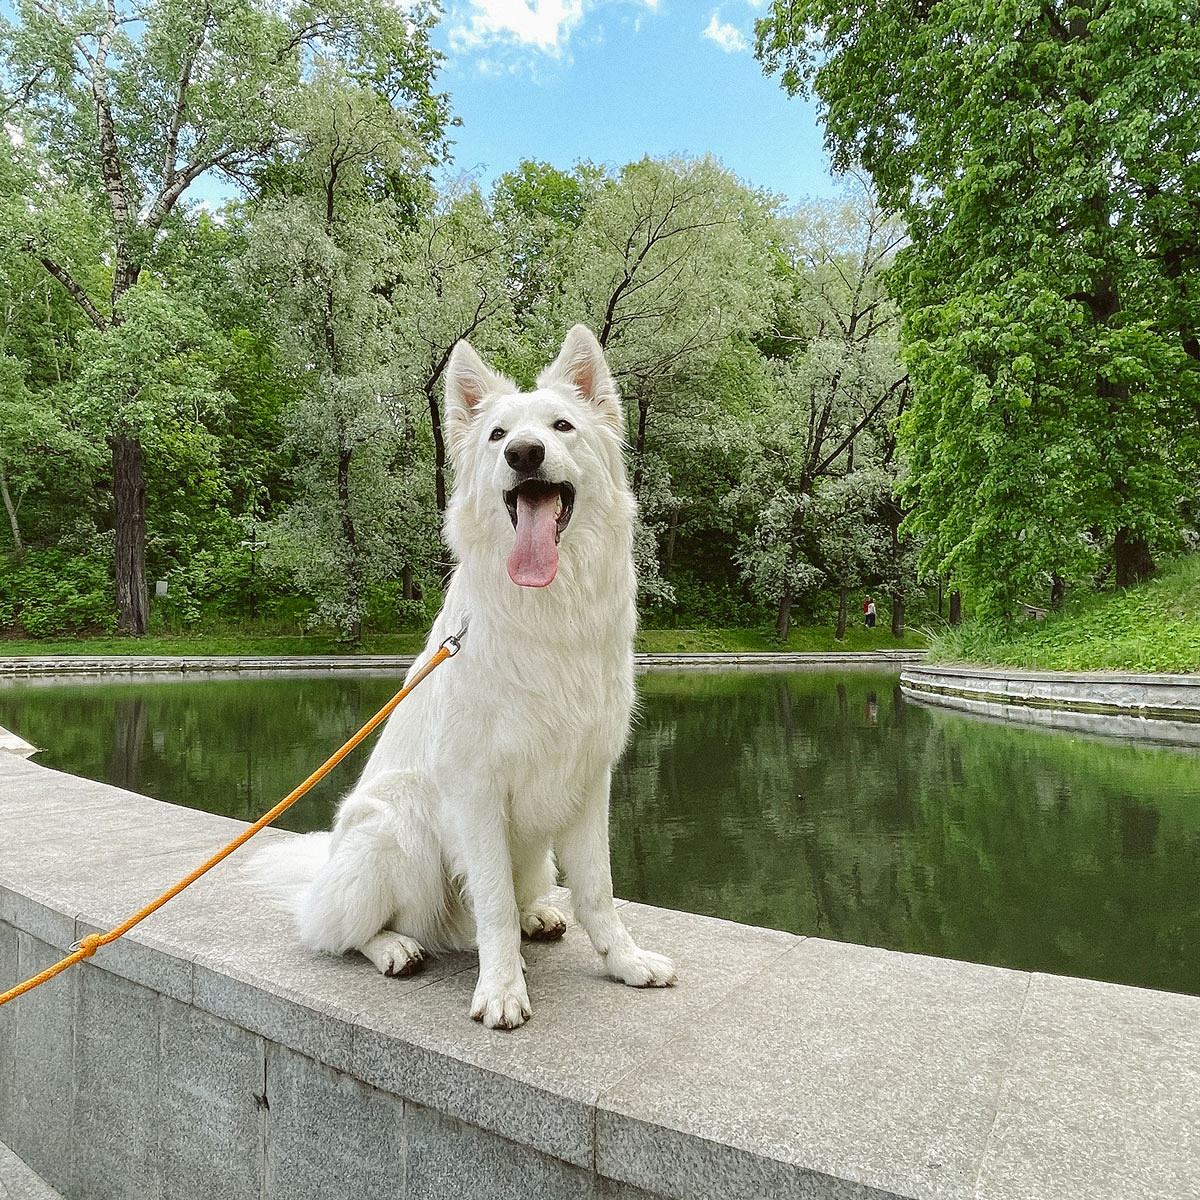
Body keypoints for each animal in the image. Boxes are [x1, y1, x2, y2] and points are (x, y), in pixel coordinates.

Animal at [249, 324, 676, 1027]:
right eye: (499, 435)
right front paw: (502, 989)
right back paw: (395, 948)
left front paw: (625, 962)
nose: (526, 454)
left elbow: (598, 892)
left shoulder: (590, 781)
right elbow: (493, 904)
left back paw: (537, 917)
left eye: (561, 426)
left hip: (533, 851)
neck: (545, 611)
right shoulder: (476, 791)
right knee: (337, 931)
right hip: (400, 826)